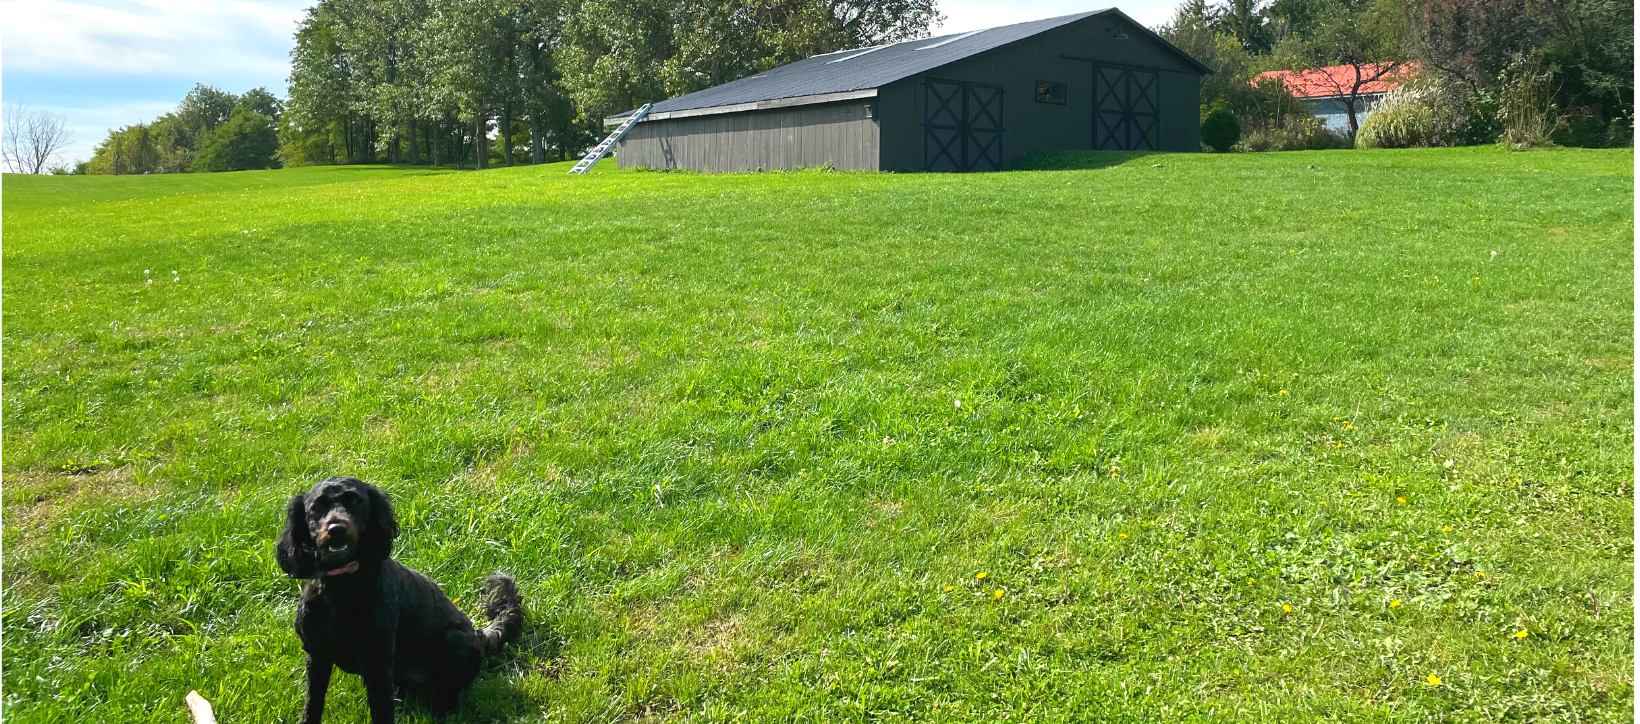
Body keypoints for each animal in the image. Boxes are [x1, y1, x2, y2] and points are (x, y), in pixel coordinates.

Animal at [273, 472, 518, 722]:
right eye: (317, 507)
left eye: (355, 501)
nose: (336, 528)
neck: (342, 586)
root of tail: (480, 635)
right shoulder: (317, 655)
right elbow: (313, 703)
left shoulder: (377, 663)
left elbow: (381, 710)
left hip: (455, 640)